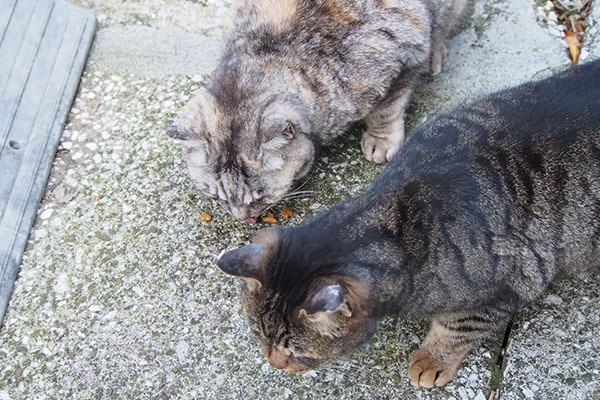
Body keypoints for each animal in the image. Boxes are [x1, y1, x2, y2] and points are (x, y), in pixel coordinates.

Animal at [166, 0, 466, 220]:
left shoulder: (402, 51)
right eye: (215, 196)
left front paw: (381, 139)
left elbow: (387, 108)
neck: (274, 50)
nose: (241, 217)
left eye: (260, 196)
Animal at [216, 61, 600, 390]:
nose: (273, 362)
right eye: (258, 335)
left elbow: (456, 329)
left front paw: (431, 360)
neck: (400, 221)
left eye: (297, 352)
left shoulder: (507, 287)